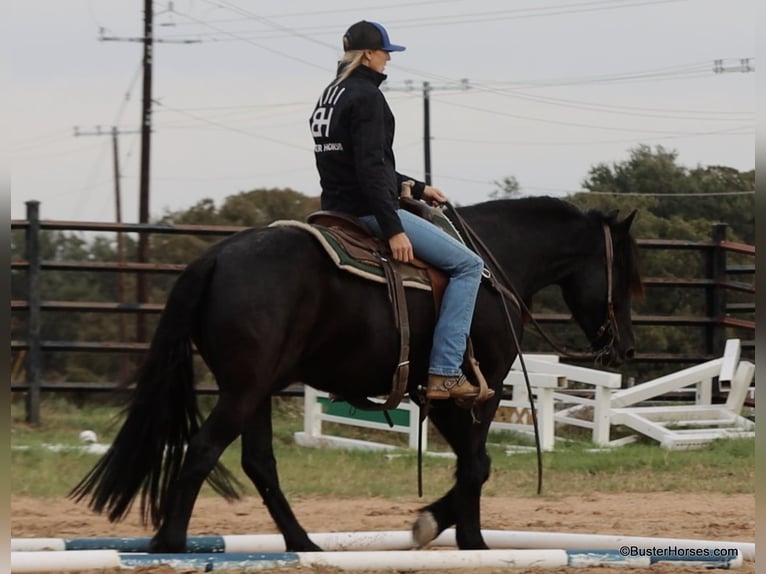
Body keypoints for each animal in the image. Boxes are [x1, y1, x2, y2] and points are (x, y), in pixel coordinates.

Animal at [71, 196, 642, 553]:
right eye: (628, 278)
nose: (627, 348)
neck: (490, 265)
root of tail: (213, 259)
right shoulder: (475, 391)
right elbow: (477, 465)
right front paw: (461, 537)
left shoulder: (438, 395)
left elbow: (470, 465)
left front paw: (452, 532)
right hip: (245, 390)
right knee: (204, 450)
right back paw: (171, 543)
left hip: (254, 390)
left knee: (259, 463)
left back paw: (302, 543)